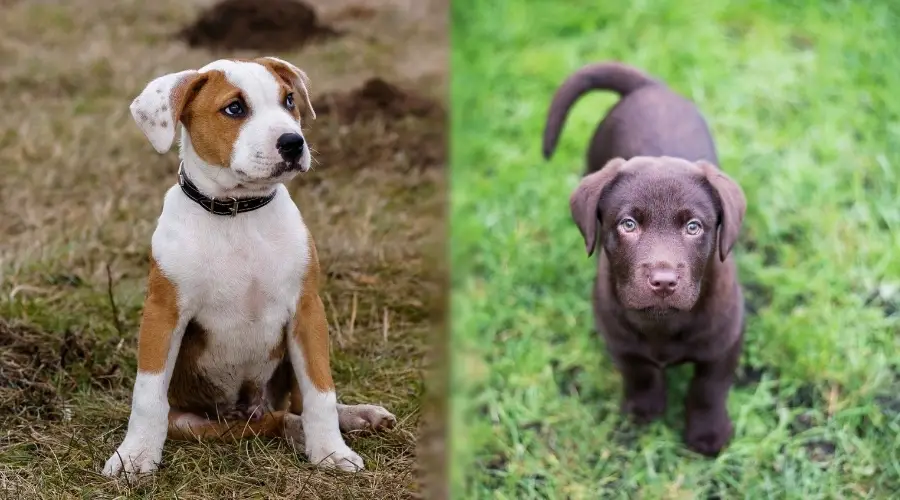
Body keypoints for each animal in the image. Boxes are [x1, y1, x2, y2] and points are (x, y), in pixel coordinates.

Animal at [102, 57, 394, 476]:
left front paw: (331, 450)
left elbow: (321, 390)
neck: (237, 212)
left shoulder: (307, 310)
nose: (293, 142)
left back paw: (355, 417)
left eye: (289, 100)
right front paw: (134, 455)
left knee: (297, 405)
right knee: (274, 421)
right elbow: (147, 391)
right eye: (234, 108)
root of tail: (243, 408)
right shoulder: (163, 312)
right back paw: (299, 431)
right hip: (197, 424)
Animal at [544, 61, 748, 458]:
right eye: (628, 224)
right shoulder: (618, 335)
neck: (663, 322)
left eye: (694, 227)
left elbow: (709, 387)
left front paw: (708, 433)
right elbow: (639, 373)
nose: (664, 281)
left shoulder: (726, 338)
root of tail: (648, 87)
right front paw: (643, 411)